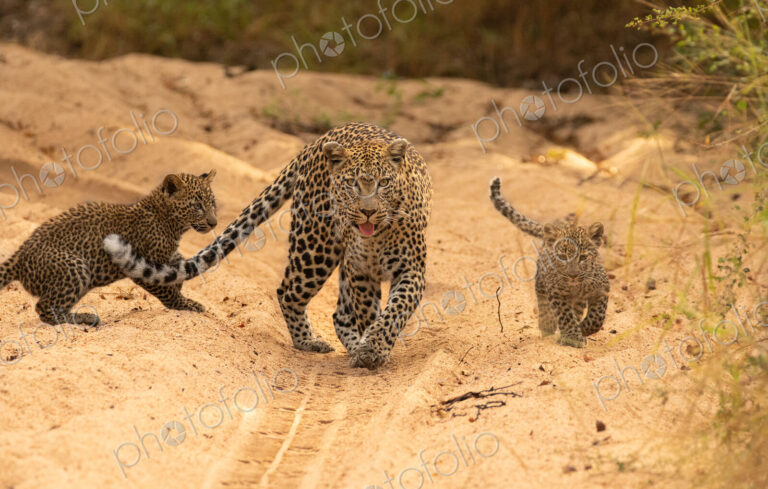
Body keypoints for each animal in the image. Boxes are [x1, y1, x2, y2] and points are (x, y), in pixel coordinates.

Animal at [0, 171, 218, 326]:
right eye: (197, 205)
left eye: (212, 203)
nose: (214, 222)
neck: (169, 222)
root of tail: (20, 255)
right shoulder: (145, 268)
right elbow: (169, 293)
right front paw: (188, 305)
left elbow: (177, 262)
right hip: (75, 267)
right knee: (44, 308)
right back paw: (85, 318)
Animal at [103, 122, 433, 370]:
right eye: (352, 184)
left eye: (384, 183)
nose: (367, 211)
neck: (378, 233)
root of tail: (318, 141)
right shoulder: (361, 271)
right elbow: (370, 314)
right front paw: (370, 352)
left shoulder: (411, 270)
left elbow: (395, 311)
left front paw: (372, 349)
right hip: (315, 247)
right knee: (289, 293)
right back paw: (310, 342)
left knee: (339, 313)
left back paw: (348, 345)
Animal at [490, 177, 609, 348]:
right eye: (563, 257)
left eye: (583, 258)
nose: (573, 275)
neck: (577, 286)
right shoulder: (557, 293)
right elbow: (565, 316)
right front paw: (573, 336)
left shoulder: (602, 289)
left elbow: (597, 318)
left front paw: (582, 330)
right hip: (541, 281)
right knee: (543, 303)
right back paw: (547, 325)